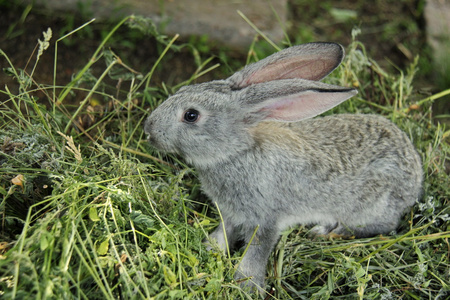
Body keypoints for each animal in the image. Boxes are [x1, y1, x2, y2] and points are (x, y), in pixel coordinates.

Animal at [146, 42, 424, 292]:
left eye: (191, 115)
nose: (149, 129)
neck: (235, 152)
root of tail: (416, 177)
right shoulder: (231, 213)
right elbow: (224, 233)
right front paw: (209, 249)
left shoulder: (267, 218)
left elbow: (256, 252)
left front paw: (246, 286)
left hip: (369, 206)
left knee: (383, 225)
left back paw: (325, 231)